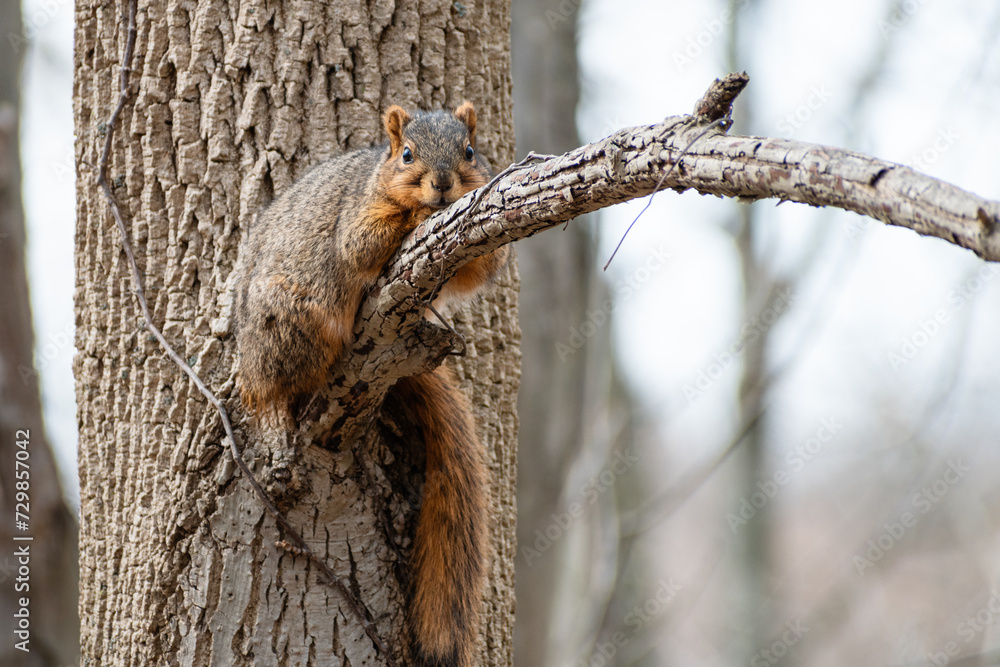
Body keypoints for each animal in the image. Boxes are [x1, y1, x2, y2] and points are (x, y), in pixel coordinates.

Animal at [232, 101, 508, 667]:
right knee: (276, 387)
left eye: (470, 151)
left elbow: (480, 266)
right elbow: (360, 245)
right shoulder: (355, 215)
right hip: (286, 322)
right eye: (406, 154)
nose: (442, 184)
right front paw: (416, 216)